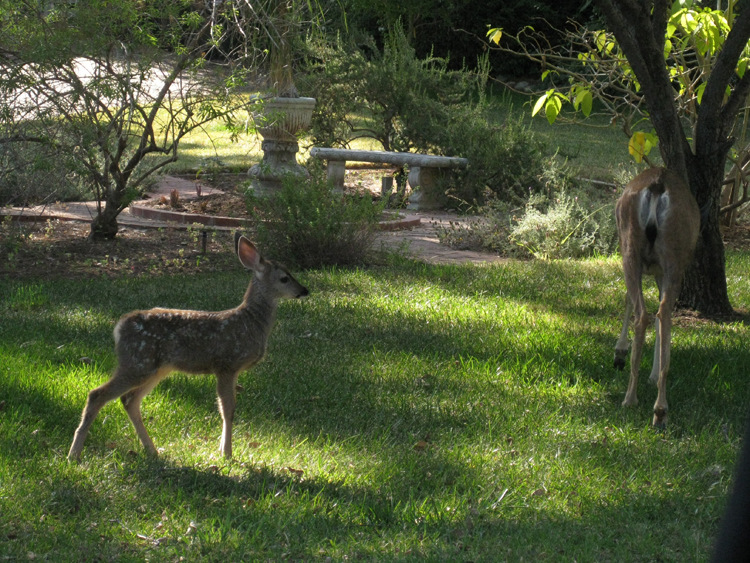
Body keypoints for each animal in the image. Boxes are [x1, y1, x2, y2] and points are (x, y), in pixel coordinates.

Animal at [67, 236, 308, 460]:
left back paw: (151, 450)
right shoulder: (226, 364)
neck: (251, 322)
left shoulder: (231, 370)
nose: (304, 290)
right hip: (137, 362)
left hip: (156, 368)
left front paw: (223, 450)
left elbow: (227, 408)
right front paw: (227, 453)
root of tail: (119, 327)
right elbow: (227, 410)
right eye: (285, 278)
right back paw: (74, 454)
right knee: (97, 394)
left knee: (129, 400)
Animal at [612, 167, 704, 428]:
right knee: (662, 313)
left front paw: (620, 351)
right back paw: (660, 408)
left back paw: (631, 398)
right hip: (672, 259)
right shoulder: (659, 271)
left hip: (631, 247)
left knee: (643, 313)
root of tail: (657, 183)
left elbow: (627, 299)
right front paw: (653, 373)